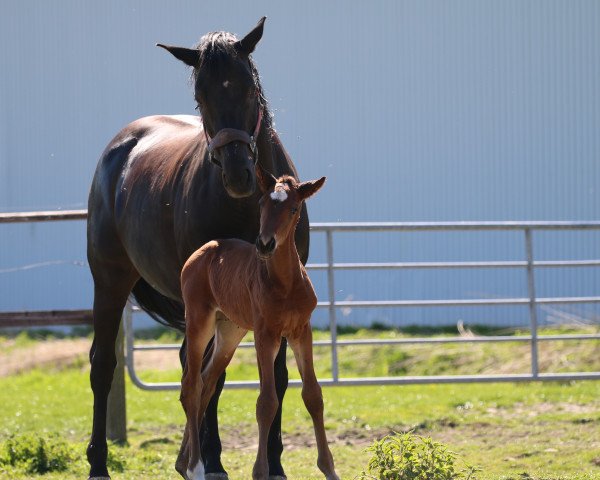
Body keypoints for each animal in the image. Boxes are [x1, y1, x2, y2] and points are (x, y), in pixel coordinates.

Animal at [86, 15, 308, 480]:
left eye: (248, 87)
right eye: (200, 95)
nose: (239, 173)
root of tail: (121, 145)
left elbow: (276, 378)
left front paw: (276, 464)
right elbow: (215, 380)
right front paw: (216, 462)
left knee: (191, 365)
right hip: (111, 281)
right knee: (104, 365)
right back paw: (100, 463)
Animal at [179, 168, 338, 480]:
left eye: (293, 209)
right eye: (262, 204)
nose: (265, 244)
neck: (286, 284)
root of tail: (202, 251)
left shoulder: (301, 331)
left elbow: (313, 395)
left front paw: (329, 469)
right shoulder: (266, 335)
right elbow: (267, 402)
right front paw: (261, 471)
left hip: (230, 331)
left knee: (206, 382)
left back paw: (182, 463)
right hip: (199, 321)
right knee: (191, 385)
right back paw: (195, 466)